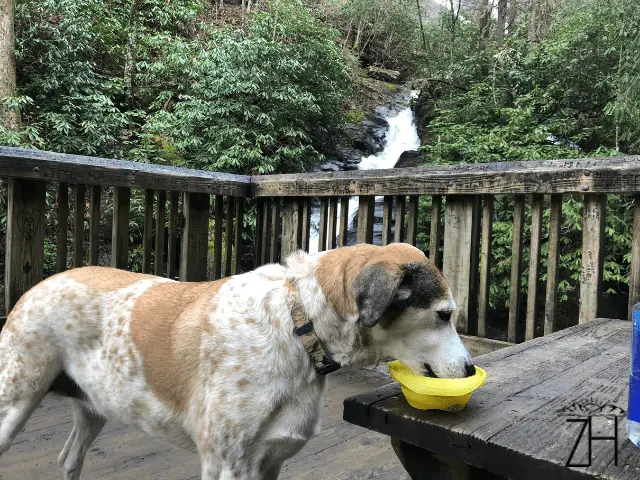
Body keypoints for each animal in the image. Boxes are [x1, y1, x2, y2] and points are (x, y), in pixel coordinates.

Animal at [1, 244, 476, 480]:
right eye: (443, 315)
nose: (471, 370)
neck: (296, 323)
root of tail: (38, 285)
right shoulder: (228, 463)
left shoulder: (271, 462)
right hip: (13, 403)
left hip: (92, 407)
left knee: (69, 459)